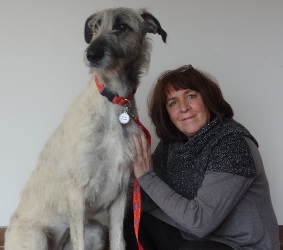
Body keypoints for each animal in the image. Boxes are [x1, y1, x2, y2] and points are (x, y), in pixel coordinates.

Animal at [3, 6, 166, 249]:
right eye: (95, 27)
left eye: (122, 25)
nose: (91, 54)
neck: (114, 101)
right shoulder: (76, 193)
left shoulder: (120, 194)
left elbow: (118, 241)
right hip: (36, 237)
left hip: (96, 231)